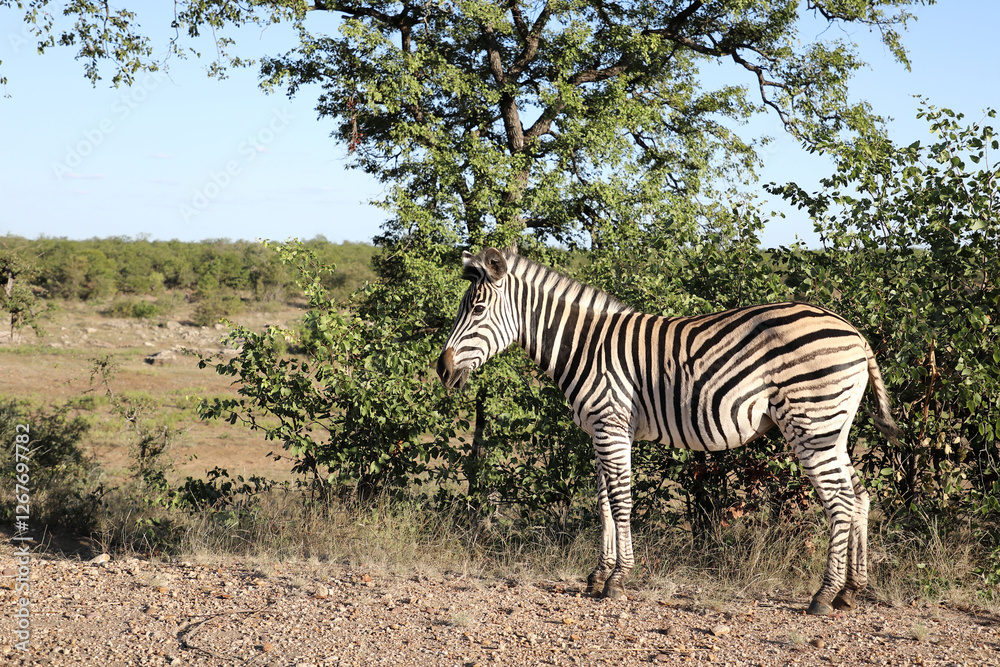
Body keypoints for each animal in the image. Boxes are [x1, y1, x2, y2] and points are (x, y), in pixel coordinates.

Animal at [436, 246, 902, 615]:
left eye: (476, 311)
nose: (441, 369)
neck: (585, 346)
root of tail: (856, 334)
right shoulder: (600, 431)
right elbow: (603, 503)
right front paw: (597, 575)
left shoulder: (611, 424)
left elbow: (621, 502)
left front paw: (618, 580)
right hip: (832, 429)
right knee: (860, 497)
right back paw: (850, 592)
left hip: (811, 424)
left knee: (840, 502)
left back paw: (823, 596)